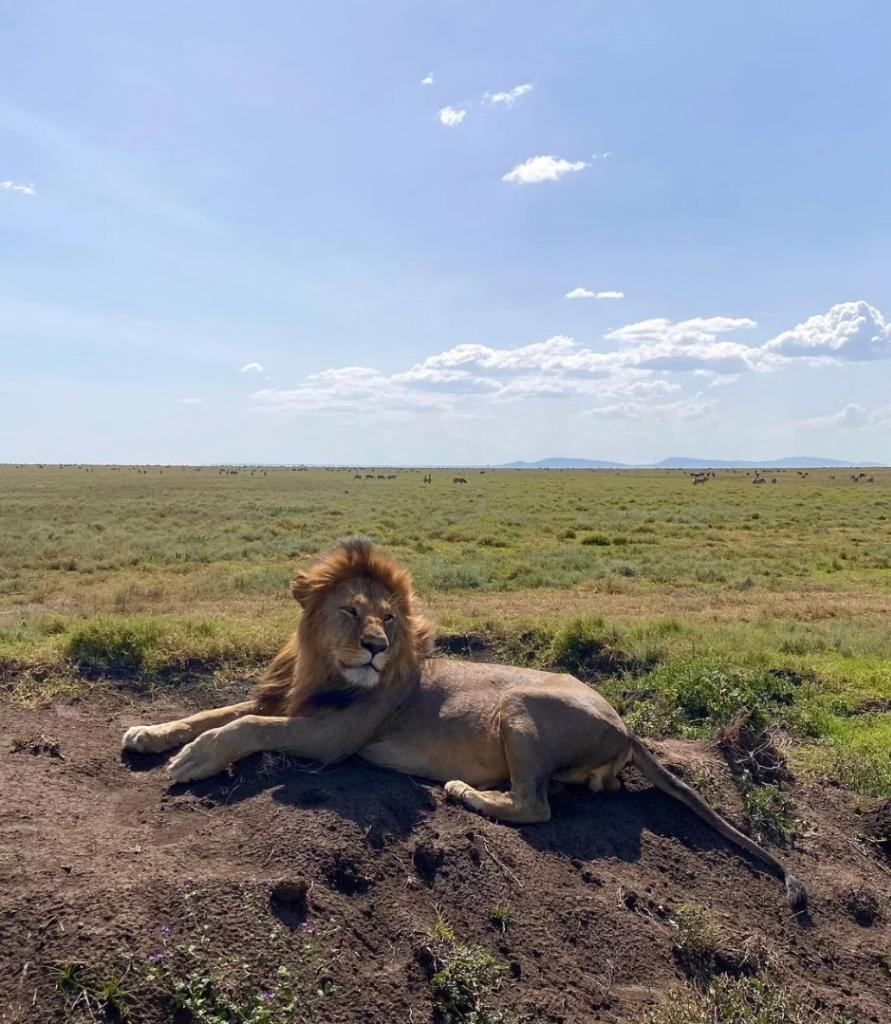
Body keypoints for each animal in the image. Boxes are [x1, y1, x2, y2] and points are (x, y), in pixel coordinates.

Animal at [123, 540, 811, 909]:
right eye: (350, 612)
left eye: (390, 620)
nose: (375, 648)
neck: (322, 669)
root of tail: (624, 723)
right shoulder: (291, 702)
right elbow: (214, 713)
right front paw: (149, 735)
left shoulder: (334, 737)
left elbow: (246, 729)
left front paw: (191, 761)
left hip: (519, 703)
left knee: (535, 806)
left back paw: (464, 793)